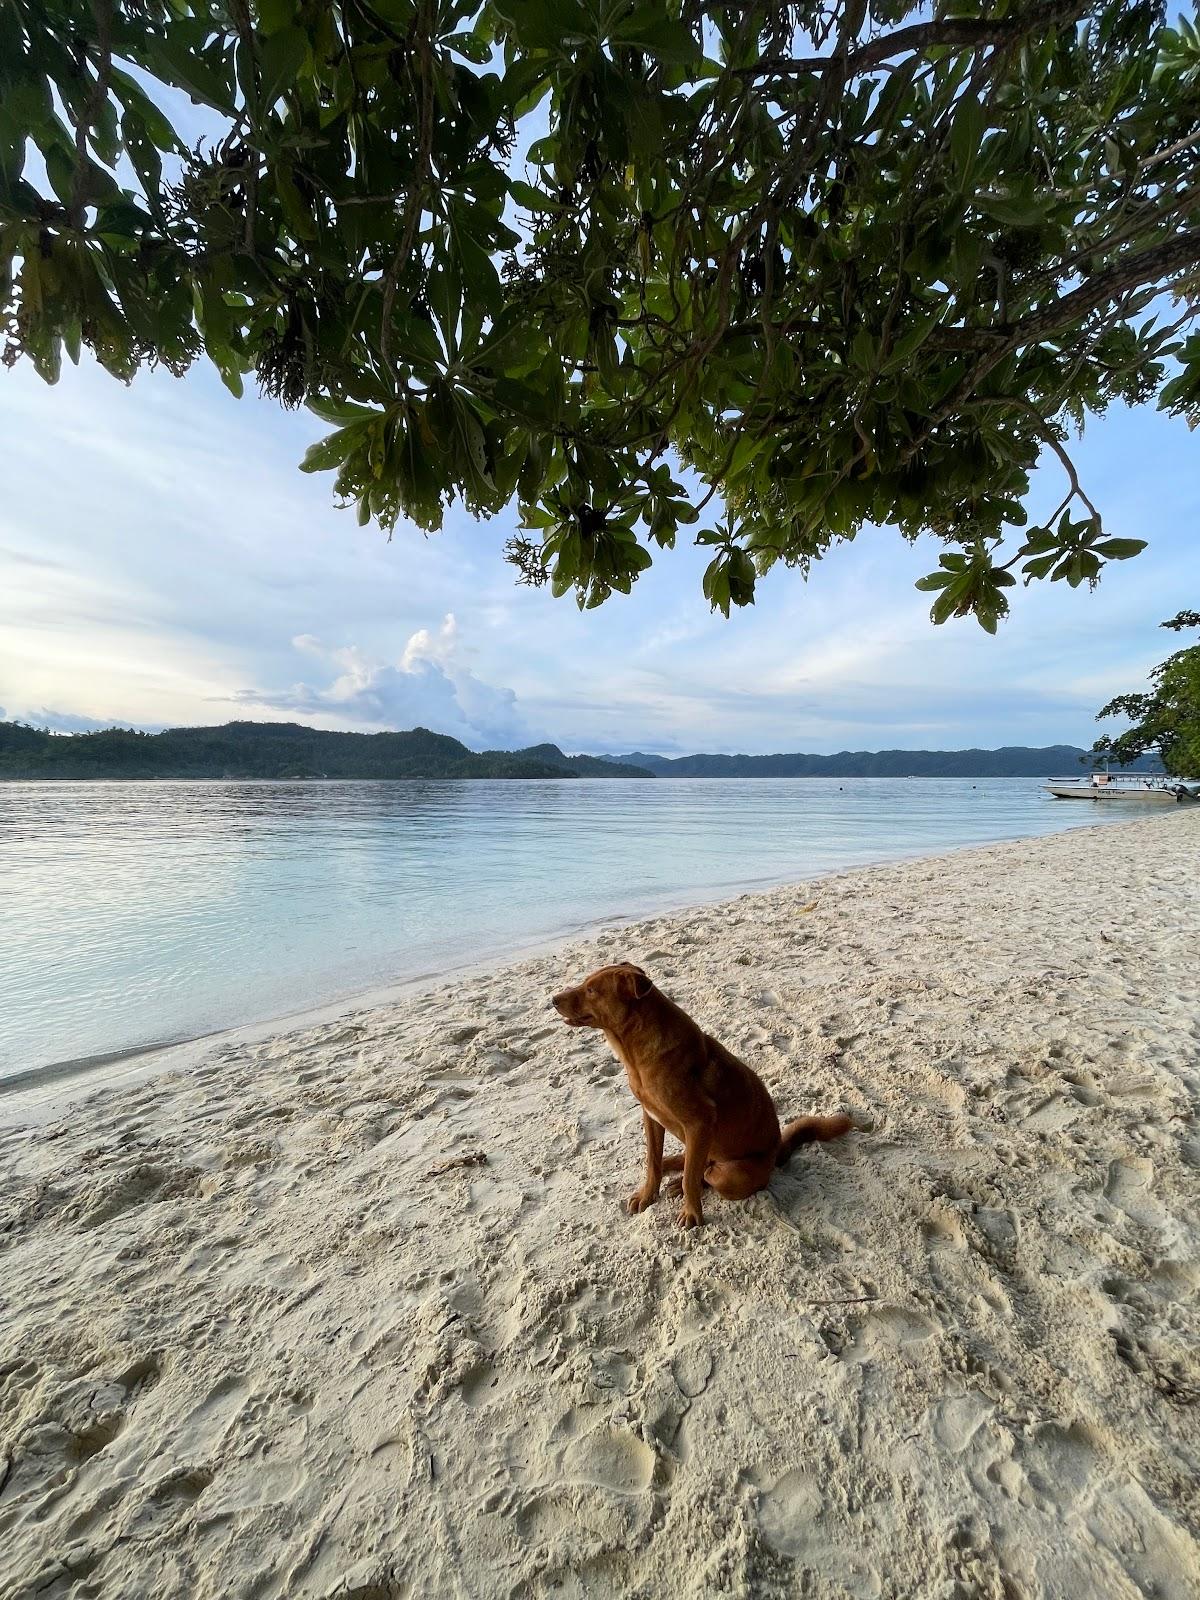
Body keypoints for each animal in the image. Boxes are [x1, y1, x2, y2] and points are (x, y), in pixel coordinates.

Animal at [556, 960, 857, 1222]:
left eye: (592, 990)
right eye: (585, 983)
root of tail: (776, 1153)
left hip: (729, 1171)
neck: (636, 1052)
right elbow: (652, 1161)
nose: (553, 1000)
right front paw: (647, 1194)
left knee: (705, 1172)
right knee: (685, 1161)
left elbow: (691, 1178)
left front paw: (692, 1213)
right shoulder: (651, 1117)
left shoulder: (699, 1124)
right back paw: (673, 1168)